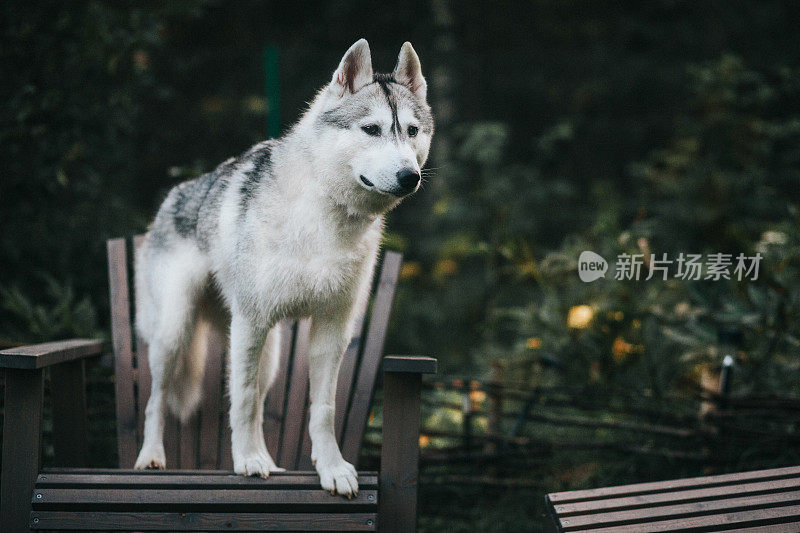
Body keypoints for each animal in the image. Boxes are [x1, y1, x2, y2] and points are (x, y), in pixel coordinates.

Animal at [133, 39, 432, 496]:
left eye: (412, 131)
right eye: (371, 130)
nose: (409, 176)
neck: (324, 216)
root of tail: (175, 194)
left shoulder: (332, 330)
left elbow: (322, 409)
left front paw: (332, 469)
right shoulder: (252, 320)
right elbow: (239, 400)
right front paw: (246, 461)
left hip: (268, 353)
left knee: (257, 403)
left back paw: (268, 461)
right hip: (178, 334)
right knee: (157, 400)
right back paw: (153, 457)